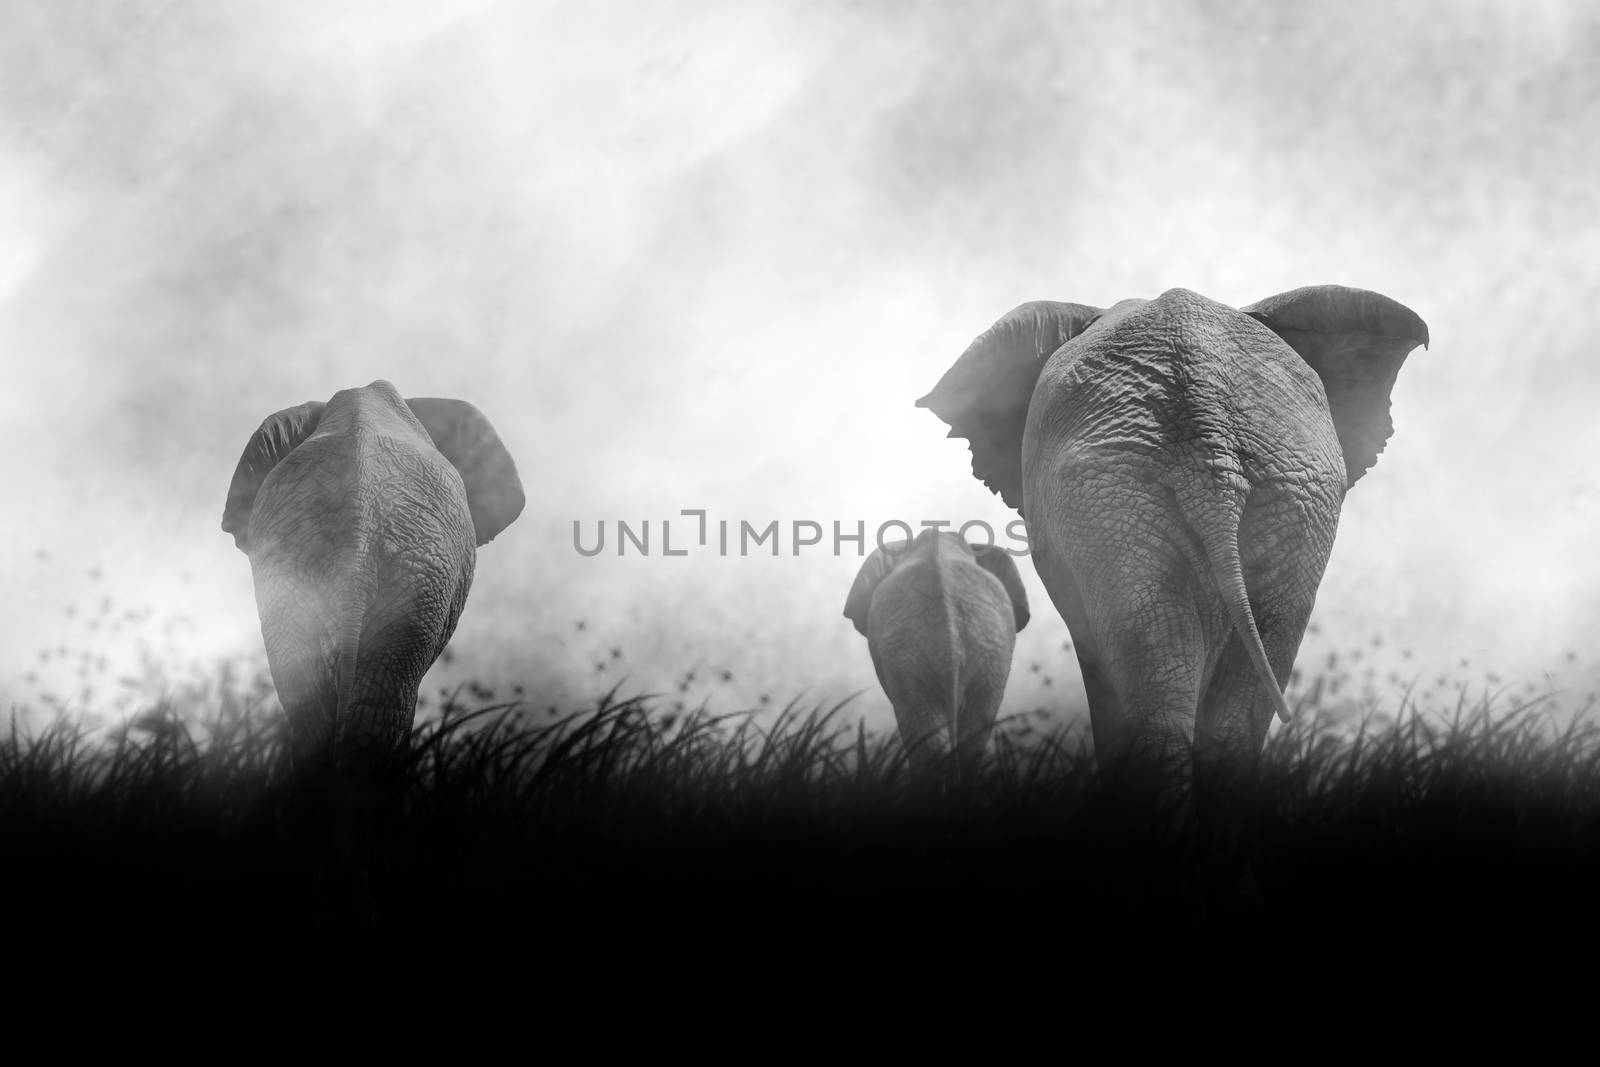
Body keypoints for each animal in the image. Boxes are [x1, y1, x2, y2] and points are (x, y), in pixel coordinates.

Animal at [220, 382, 524, 927]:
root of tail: (359, 524)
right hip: (416, 576)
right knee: (380, 724)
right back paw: (359, 907)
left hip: (300, 577)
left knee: (317, 719)